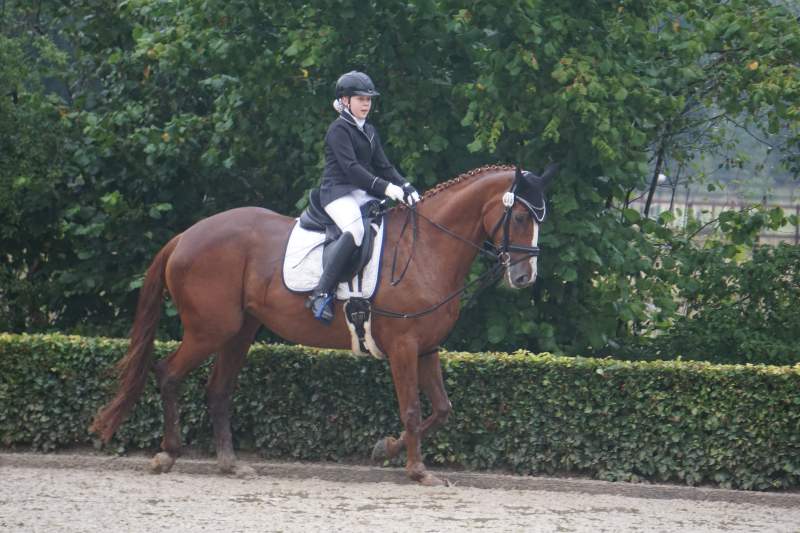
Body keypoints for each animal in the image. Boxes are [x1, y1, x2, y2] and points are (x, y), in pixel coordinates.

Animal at [90, 163, 558, 486]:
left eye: (540, 219)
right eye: (520, 218)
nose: (524, 277)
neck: (426, 249)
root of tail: (185, 237)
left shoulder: (427, 347)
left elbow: (441, 409)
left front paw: (384, 449)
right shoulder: (404, 347)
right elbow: (411, 408)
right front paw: (416, 470)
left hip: (239, 333)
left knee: (218, 390)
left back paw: (231, 464)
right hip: (210, 330)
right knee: (168, 374)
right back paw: (168, 455)